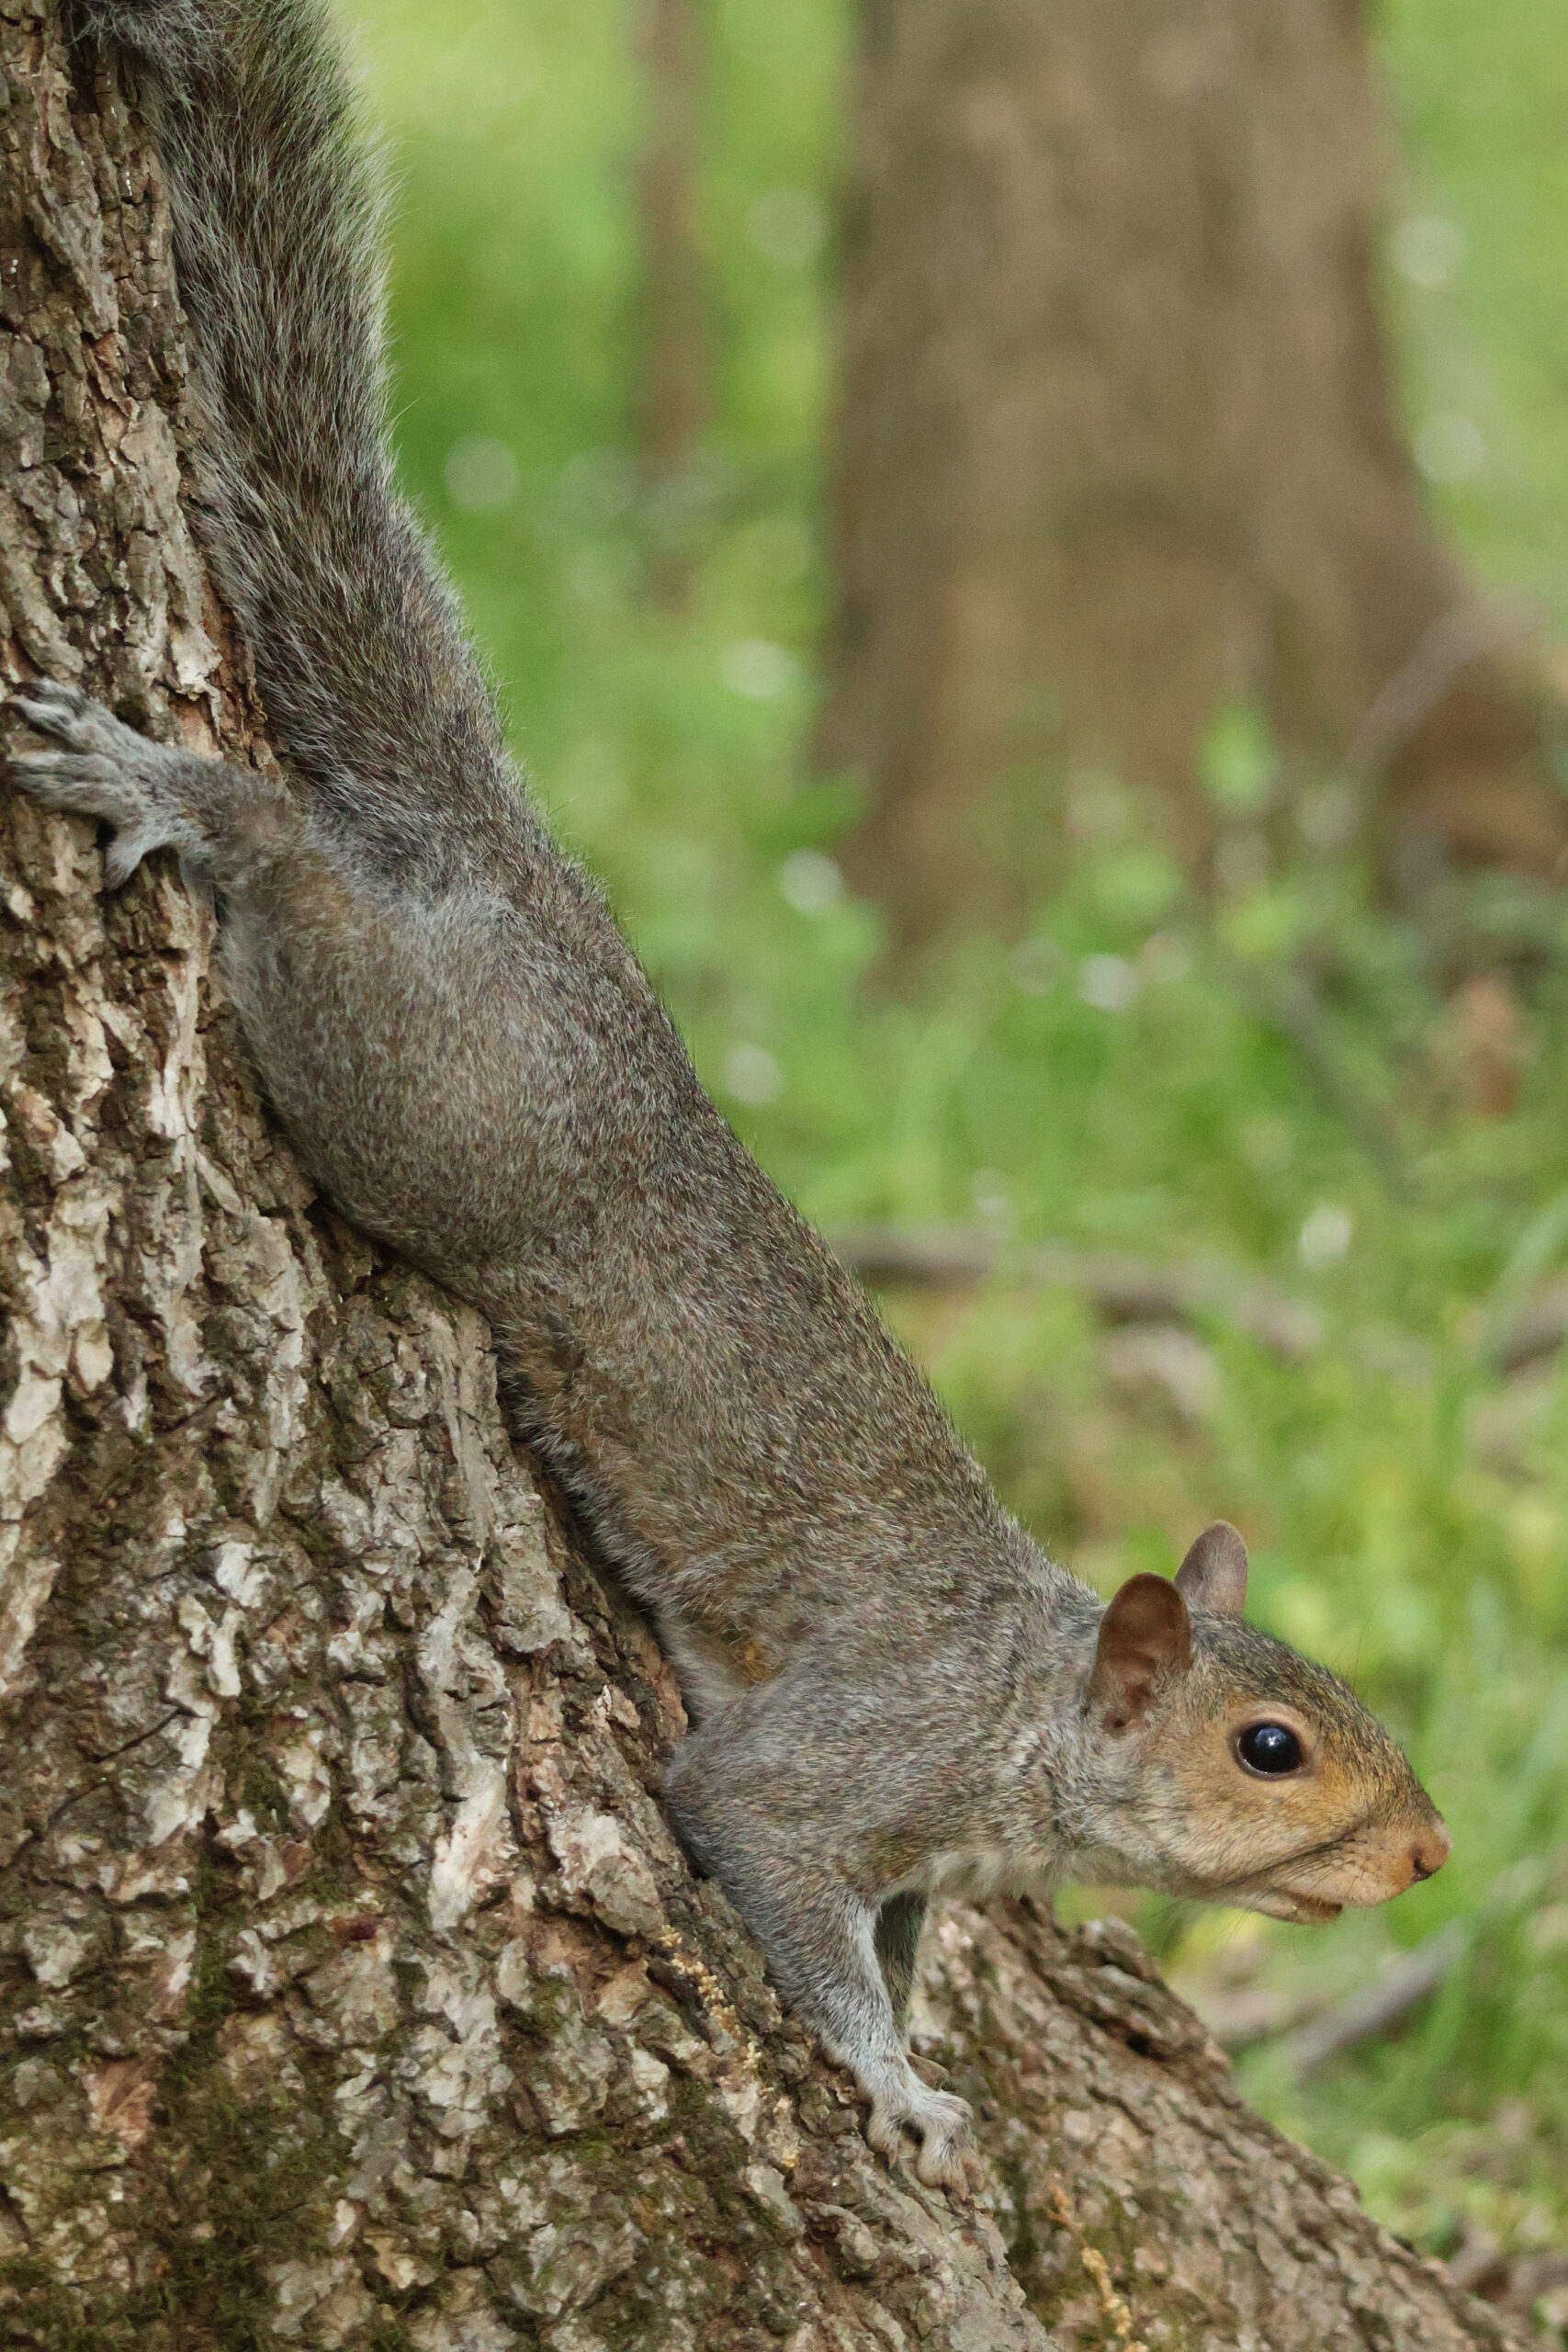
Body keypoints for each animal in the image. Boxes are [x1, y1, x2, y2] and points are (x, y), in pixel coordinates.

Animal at [11, 0, 1450, 2196]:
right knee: (292, 879)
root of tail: (514, 880)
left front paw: (920, 2035)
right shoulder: (831, 1764)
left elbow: (905, 1932)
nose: (1431, 1852)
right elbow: (766, 1859)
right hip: (418, 1090)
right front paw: (890, 2080)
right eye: (1266, 1745)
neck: (1025, 1709)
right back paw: (183, 789)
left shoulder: (929, 1855)